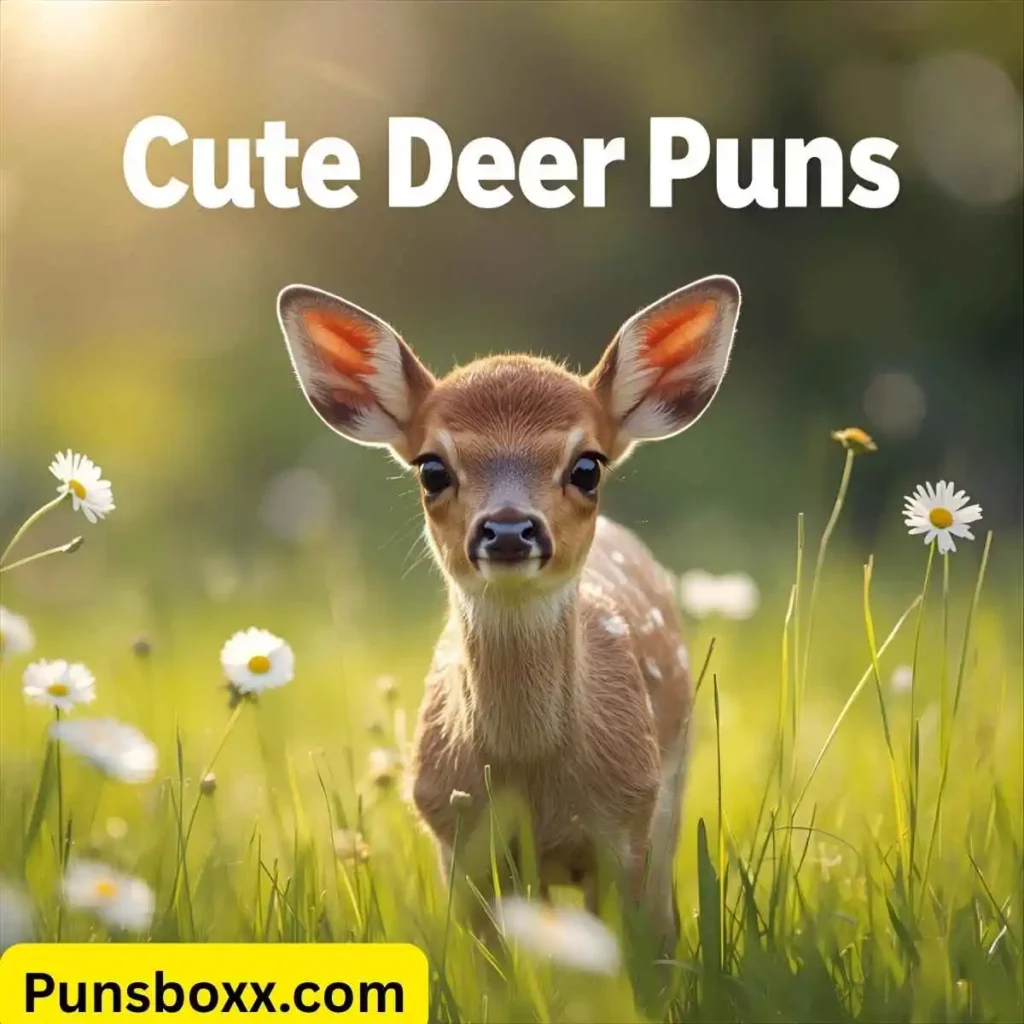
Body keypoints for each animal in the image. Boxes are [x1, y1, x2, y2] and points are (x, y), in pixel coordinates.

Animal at [275, 274, 741, 953]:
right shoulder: (459, 840)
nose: (509, 529)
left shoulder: (625, 830)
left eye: (587, 465)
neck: (533, 775)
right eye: (432, 468)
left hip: (669, 797)